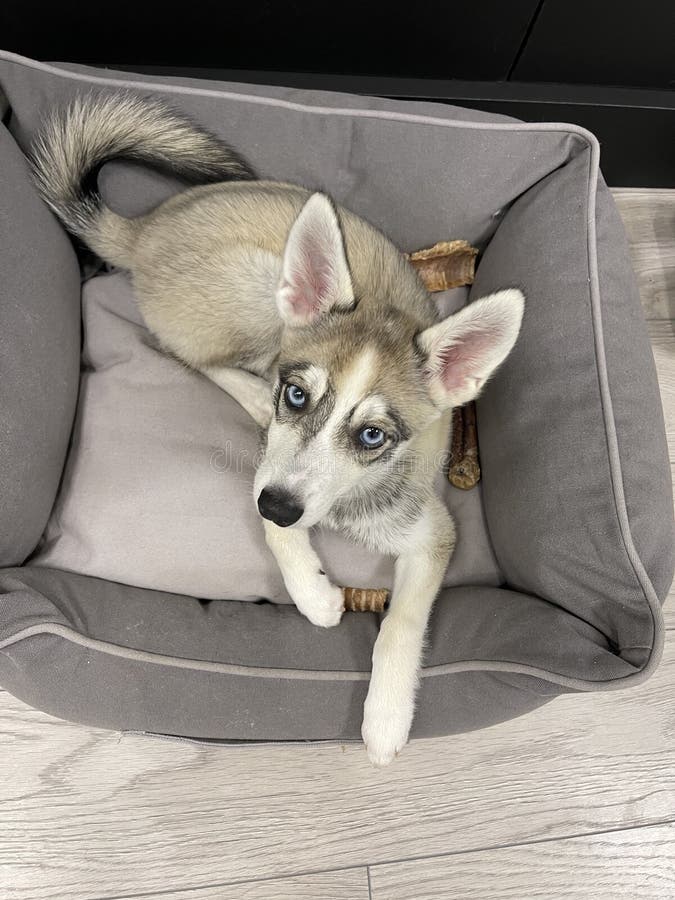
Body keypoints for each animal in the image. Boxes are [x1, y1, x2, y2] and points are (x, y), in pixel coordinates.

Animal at [30, 93, 528, 768]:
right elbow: (268, 511)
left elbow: (401, 622)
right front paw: (313, 594)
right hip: (258, 291)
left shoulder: (431, 532)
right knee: (196, 357)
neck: (341, 503)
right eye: (297, 394)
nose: (284, 505)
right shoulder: (272, 465)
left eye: (373, 437)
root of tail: (147, 226)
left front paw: (386, 717)